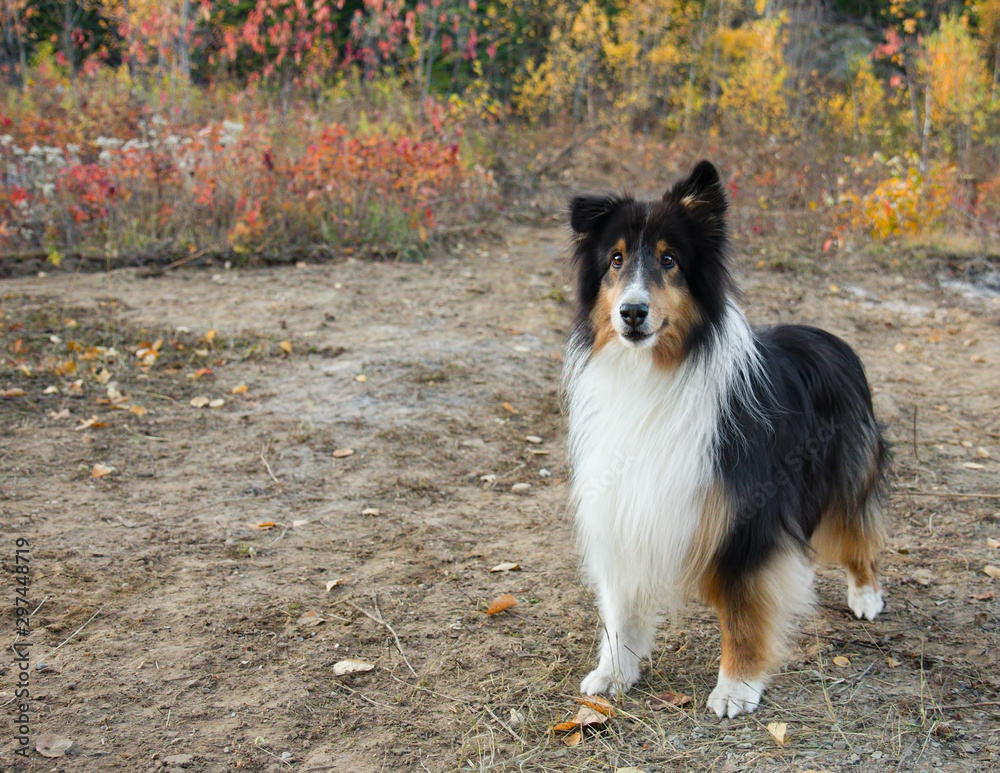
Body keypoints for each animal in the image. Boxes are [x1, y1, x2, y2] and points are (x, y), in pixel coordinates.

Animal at [564, 161, 892, 716]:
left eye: (669, 260)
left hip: (848, 468)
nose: (632, 312)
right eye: (616, 259)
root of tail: (829, 336)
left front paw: (736, 687)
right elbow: (622, 605)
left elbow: (743, 612)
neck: (656, 373)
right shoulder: (625, 503)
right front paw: (614, 674)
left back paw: (866, 594)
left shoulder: (750, 522)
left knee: (857, 524)